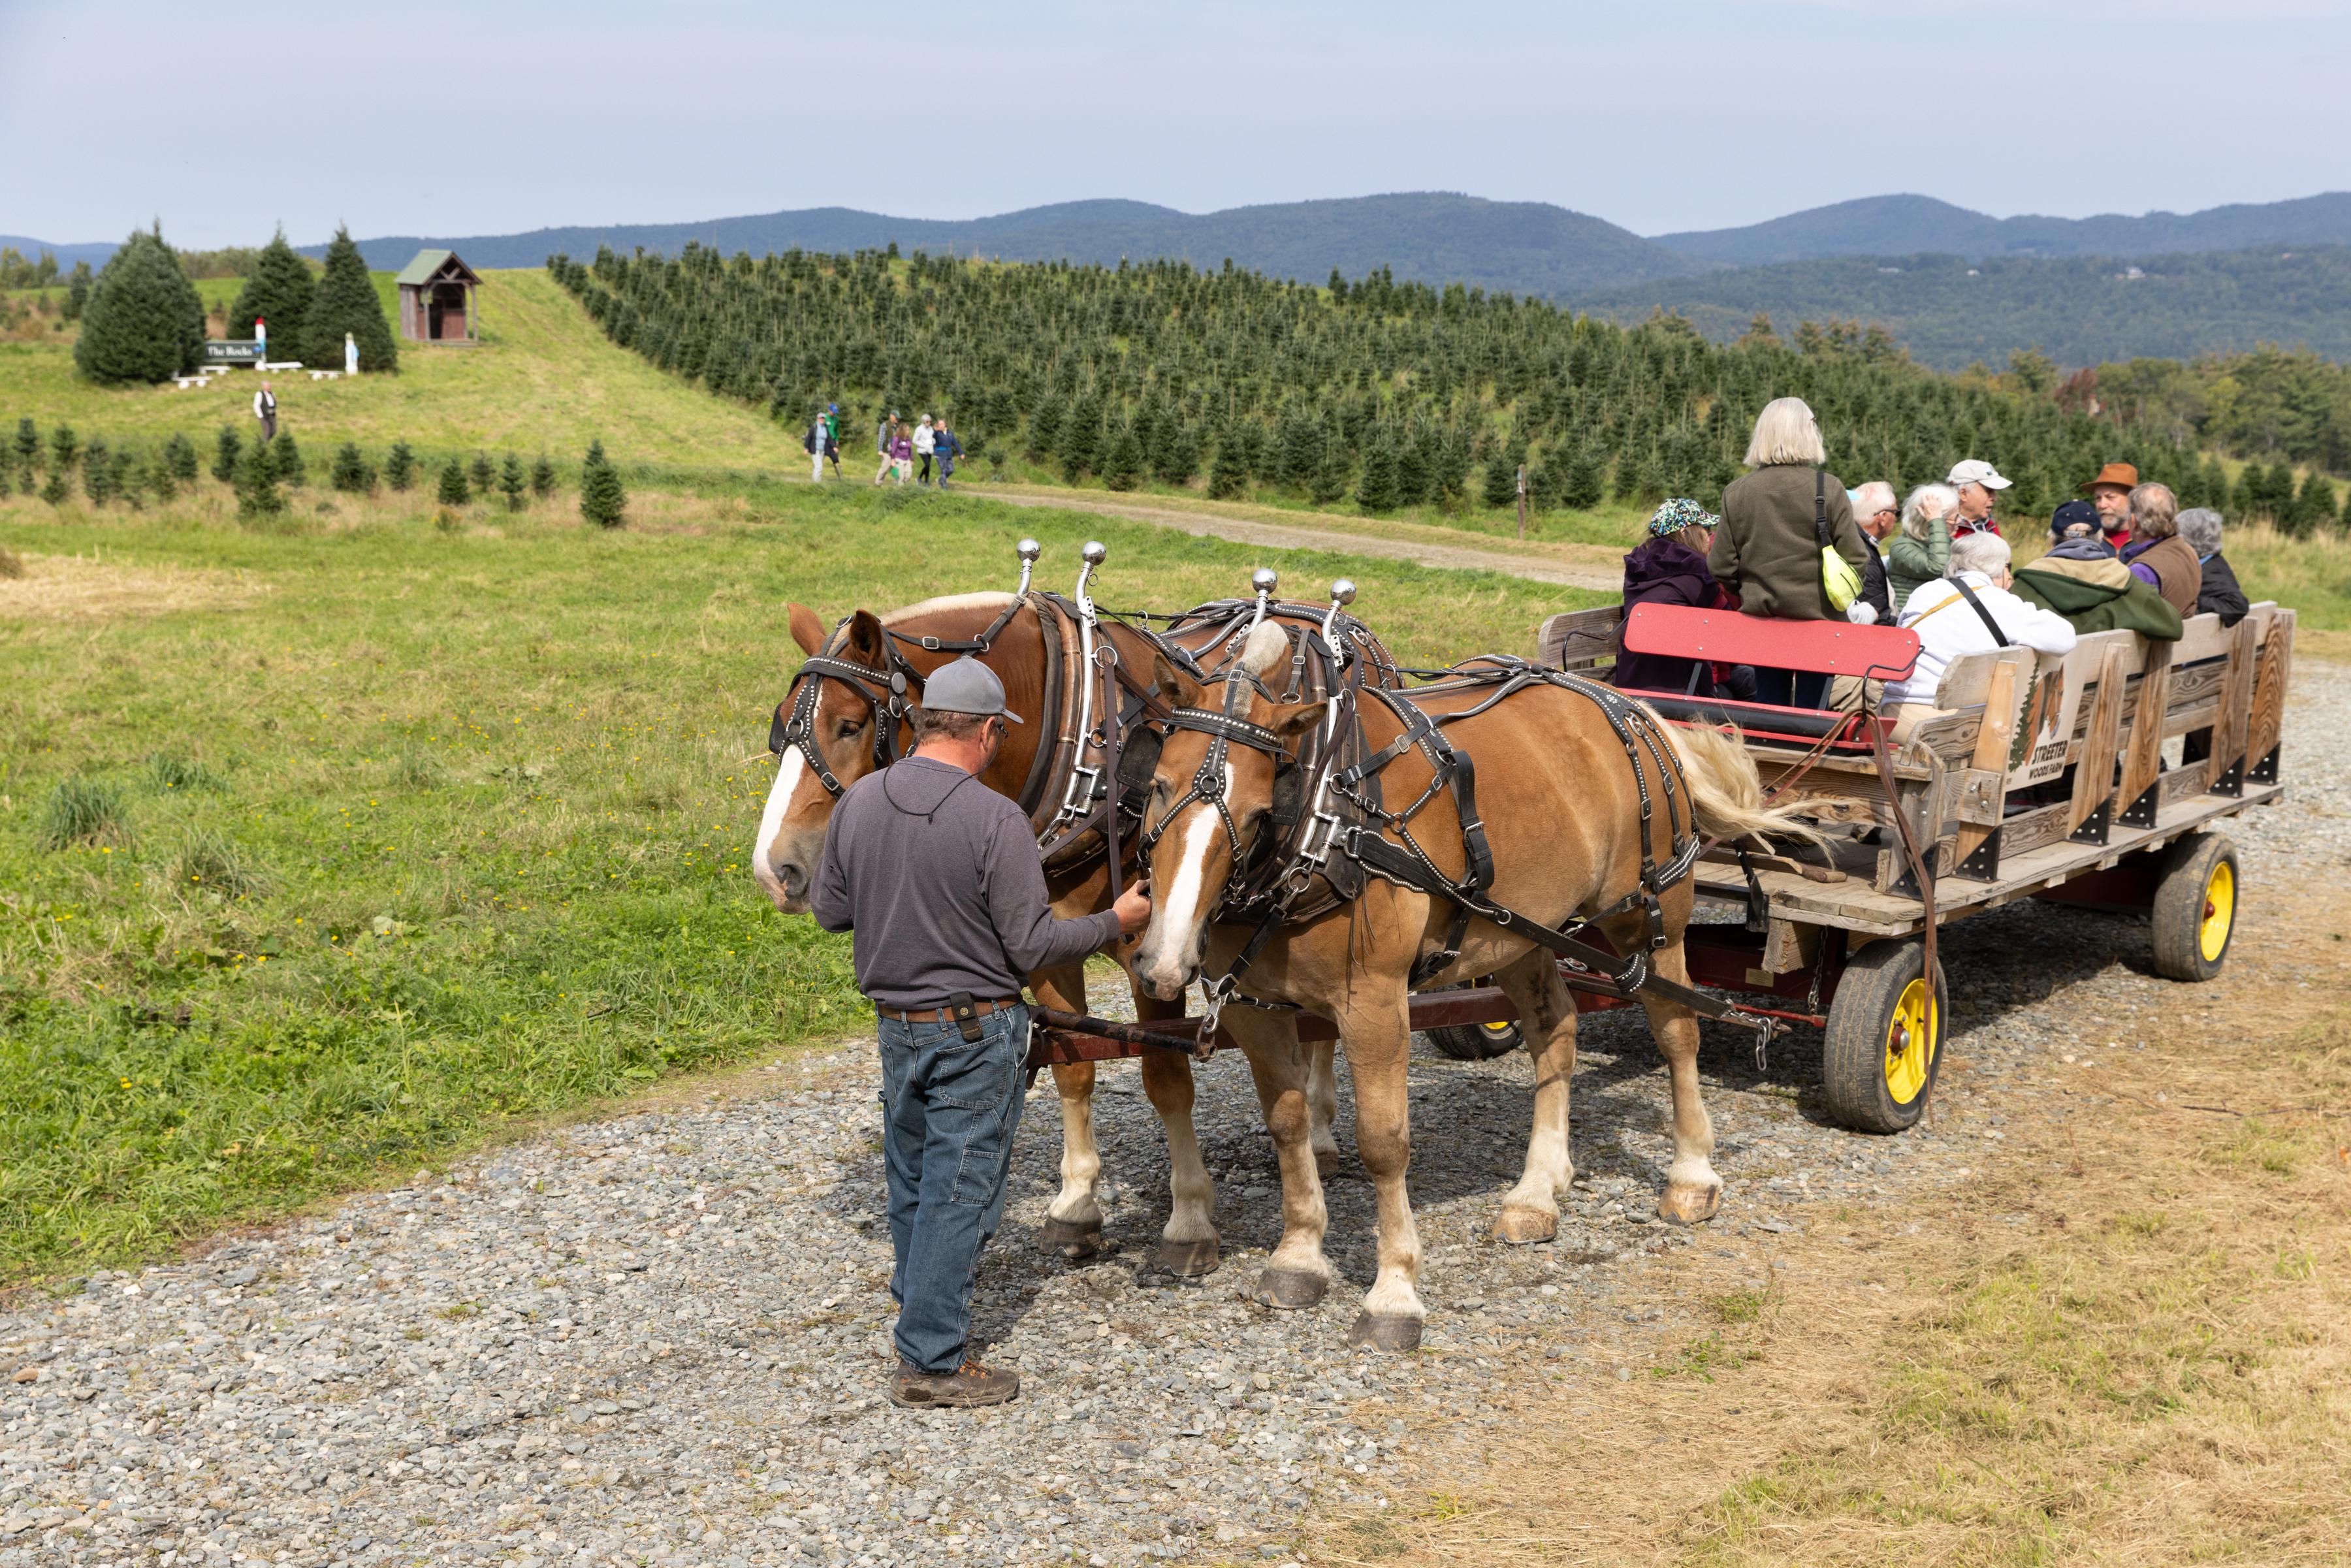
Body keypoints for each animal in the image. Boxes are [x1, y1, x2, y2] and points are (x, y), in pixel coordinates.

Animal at [743, 585, 1354, 1279]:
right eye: (782, 723)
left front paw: (1189, 1217)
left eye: (848, 724)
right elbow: (1074, 1068)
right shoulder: (1046, 942)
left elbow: (1167, 1078)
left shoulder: (1157, 953)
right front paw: (1077, 1204)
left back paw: (1321, 1132)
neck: (1089, 737)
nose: (775, 870)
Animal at [1128, 620, 1805, 1354]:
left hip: (1647, 920)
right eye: (1159, 786)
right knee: (1555, 1031)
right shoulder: (1256, 1007)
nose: (1162, 959)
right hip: (1518, 934)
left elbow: (1384, 1141)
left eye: (1257, 813)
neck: (1324, 819)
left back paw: (1691, 1175)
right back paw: (1537, 1191)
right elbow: (1287, 1125)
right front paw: (1300, 1254)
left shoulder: (1374, 1003)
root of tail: (1632, 709)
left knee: (1678, 1031)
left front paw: (1395, 1291)